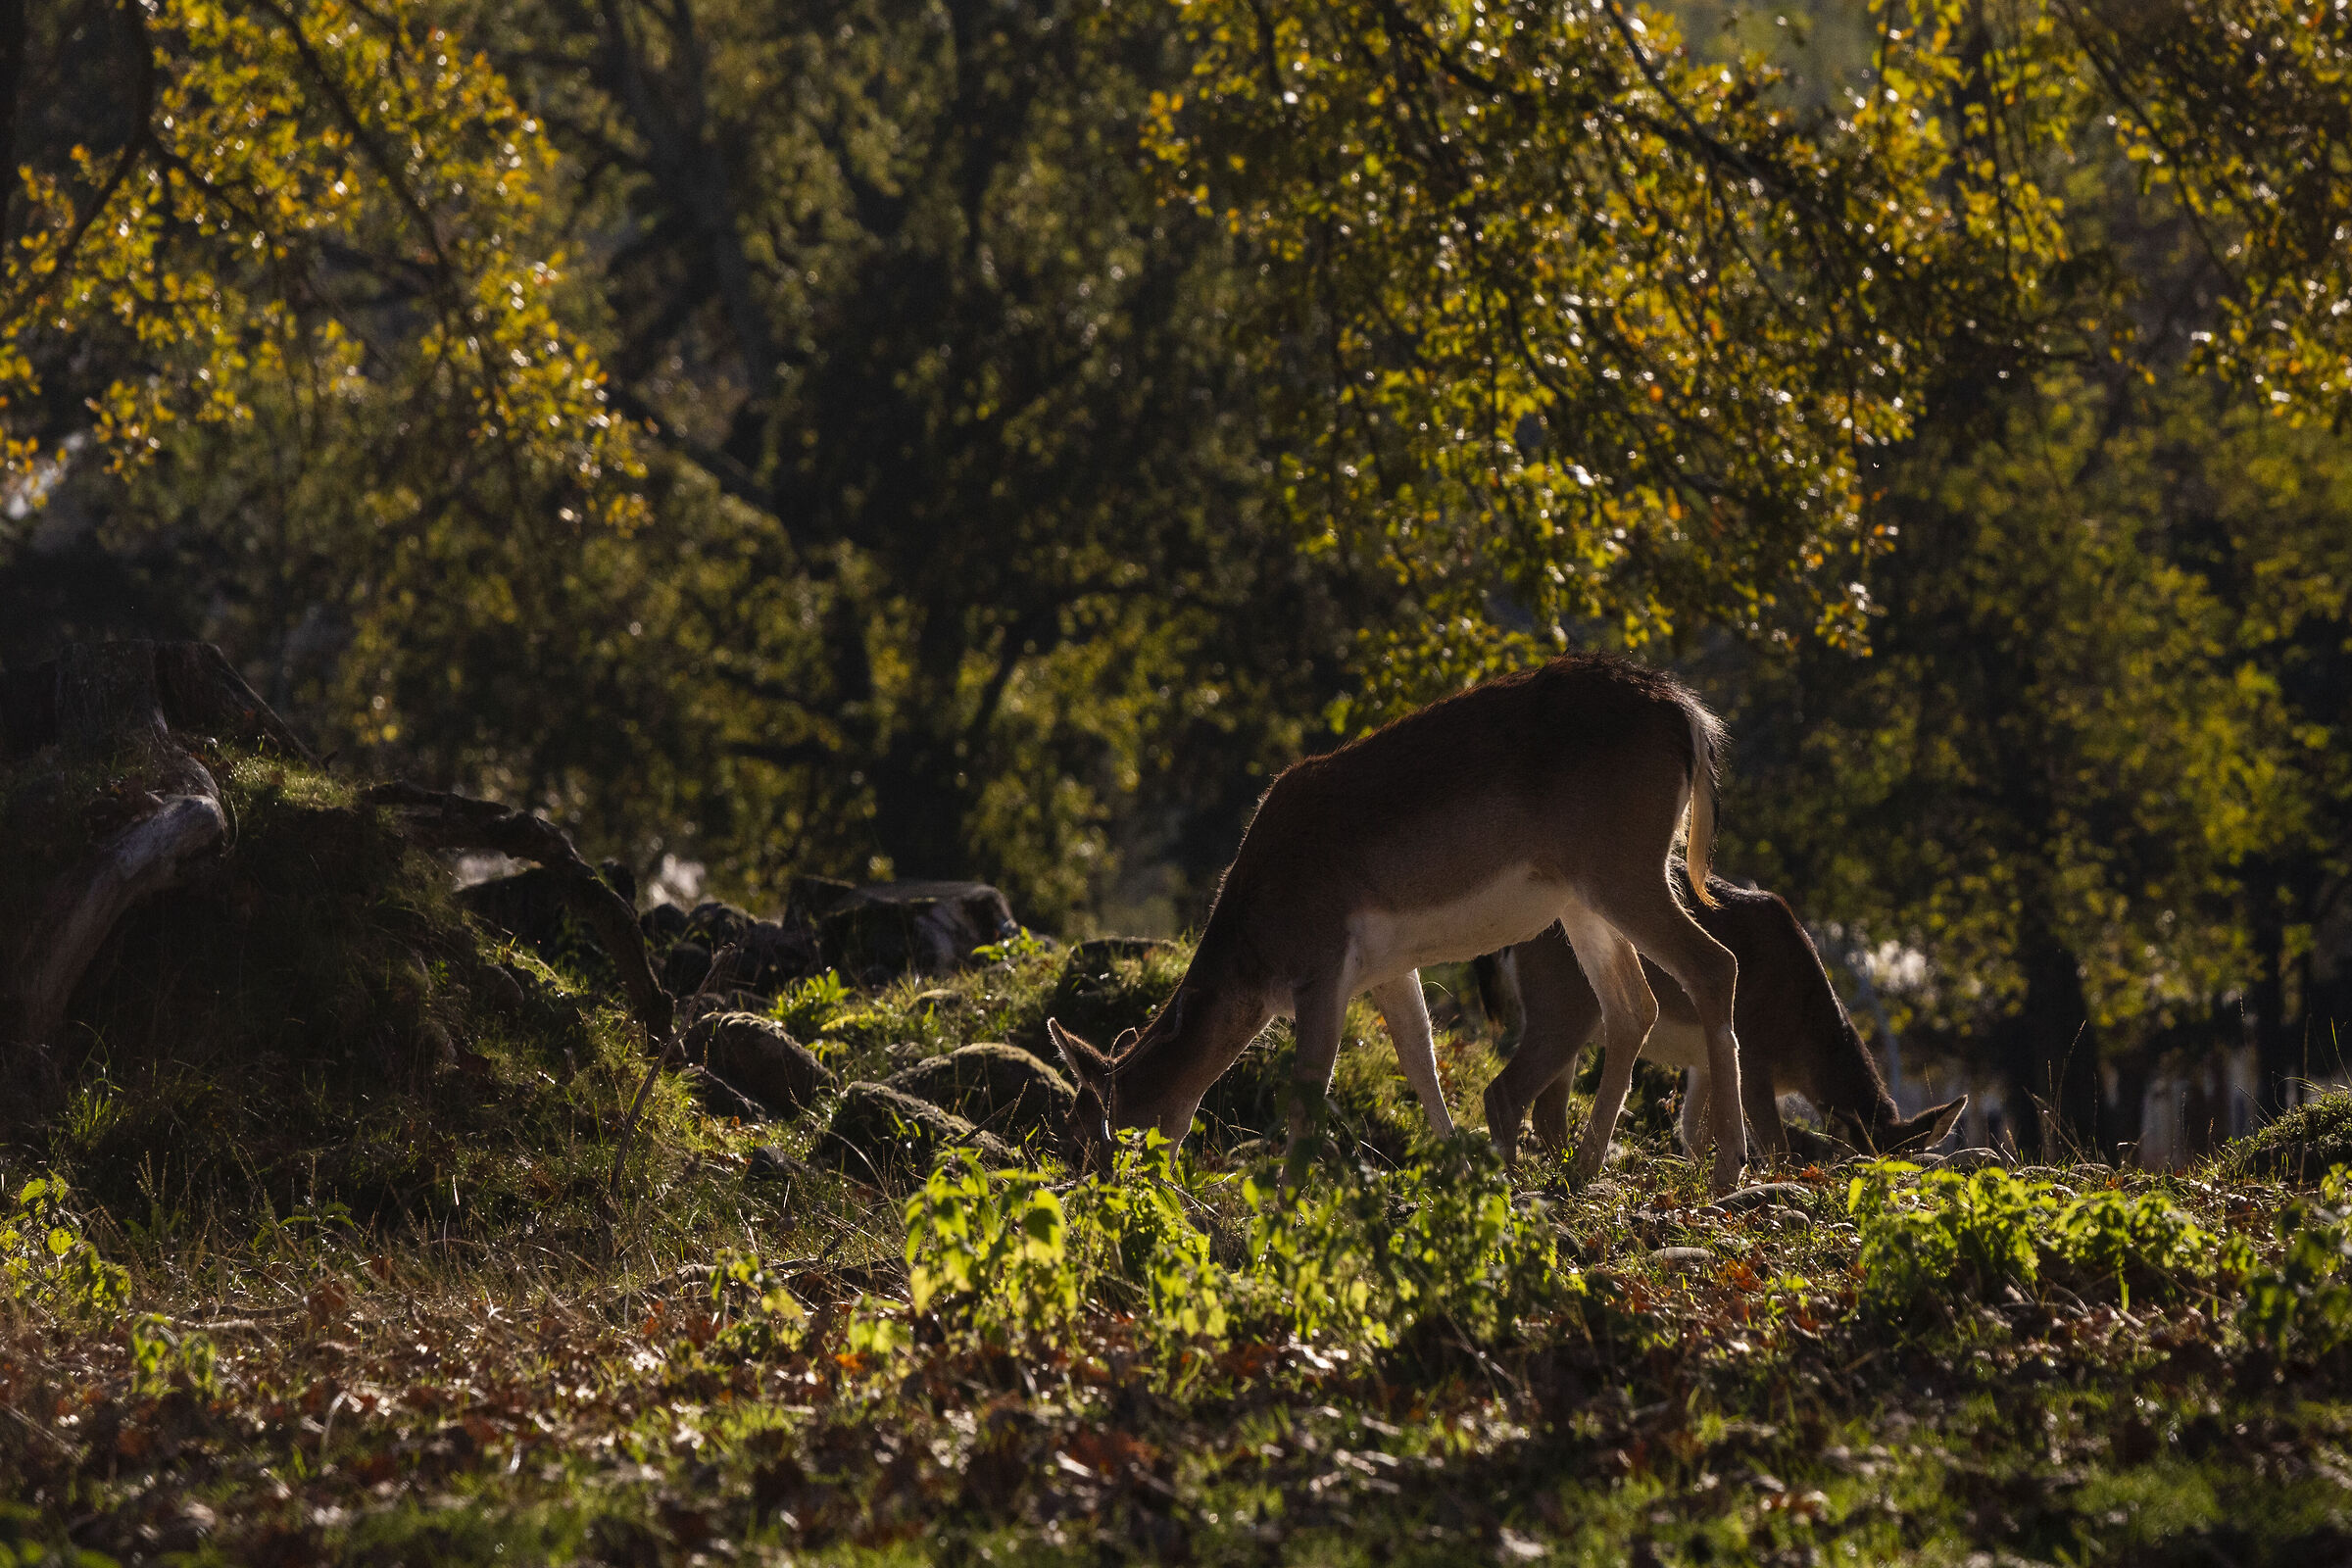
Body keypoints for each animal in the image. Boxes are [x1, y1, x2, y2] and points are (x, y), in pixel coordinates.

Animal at [1043, 653, 1754, 1193]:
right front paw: (1463, 1180)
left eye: (1080, 1136)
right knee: (1633, 1004)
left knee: (1714, 964)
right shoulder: (1387, 969)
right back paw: (1583, 1169)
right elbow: (1421, 1062)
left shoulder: (1322, 964)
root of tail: (1690, 717)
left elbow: (1309, 1092)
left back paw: (1727, 1169)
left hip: (1623, 866)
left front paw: (1283, 1214)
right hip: (1583, 899)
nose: (1101, 1199)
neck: (1257, 948)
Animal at [1477, 884, 1967, 1164]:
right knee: (1504, 1093)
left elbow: (1694, 1134)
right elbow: (1775, 1147)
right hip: (1563, 1006)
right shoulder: (1752, 1058)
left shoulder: (1704, 1063)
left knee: (1545, 1111)